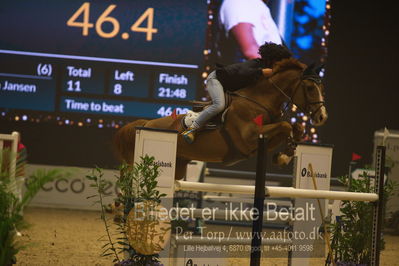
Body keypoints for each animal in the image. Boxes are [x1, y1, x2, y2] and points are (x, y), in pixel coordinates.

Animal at [113, 58, 328, 179]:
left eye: (322, 87)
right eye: (310, 87)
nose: (322, 117)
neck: (260, 100)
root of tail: (146, 123)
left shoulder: (262, 141)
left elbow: (294, 128)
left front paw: (286, 154)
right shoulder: (249, 138)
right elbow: (285, 125)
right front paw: (285, 155)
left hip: (178, 166)